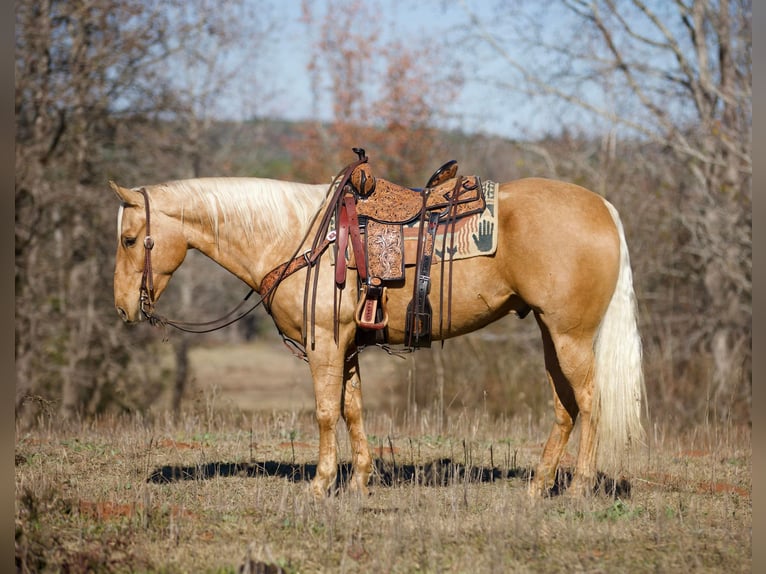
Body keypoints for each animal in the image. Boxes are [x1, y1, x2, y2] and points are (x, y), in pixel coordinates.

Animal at [111, 171, 644, 500]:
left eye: (129, 239)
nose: (122, 307)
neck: (299, 239)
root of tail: (603, 208)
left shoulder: (324, 343)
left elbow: (326, 412)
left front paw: (322, 483)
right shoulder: (346, 346)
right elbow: (352, 409)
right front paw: (359, 481)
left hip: (570, 335)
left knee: (591, 402)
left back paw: (578, 488)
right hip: (552, 333)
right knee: (565, 405)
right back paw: (537, 486)